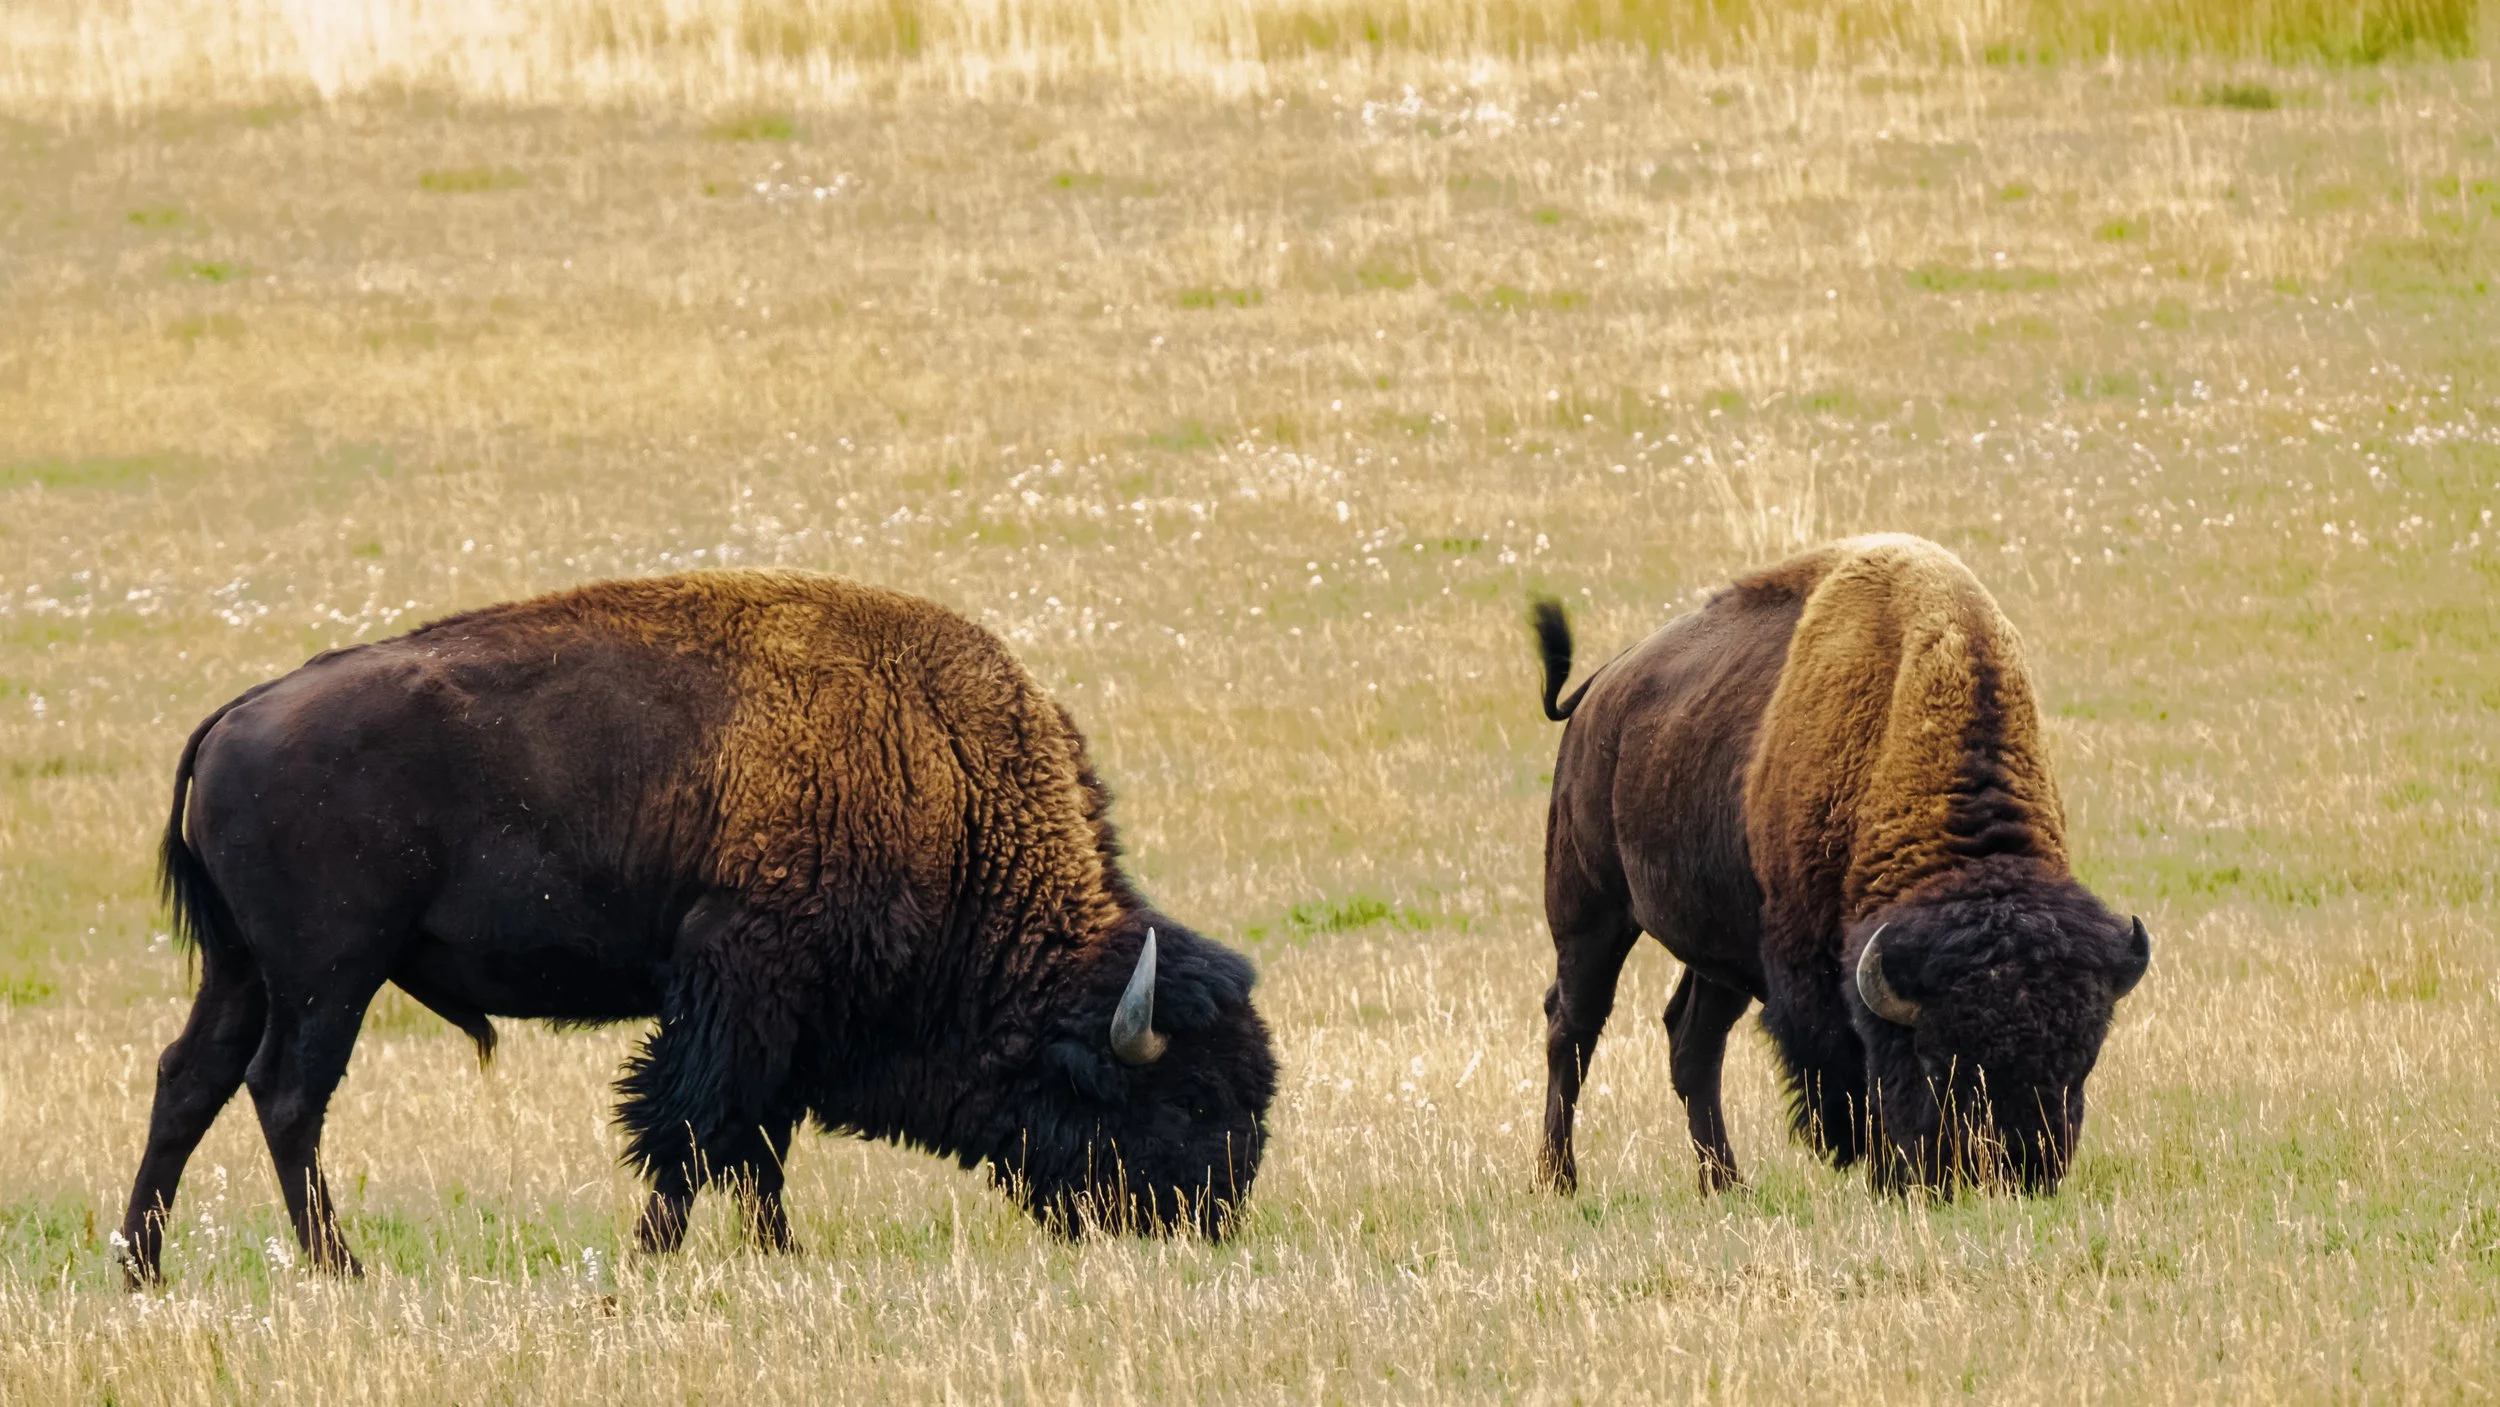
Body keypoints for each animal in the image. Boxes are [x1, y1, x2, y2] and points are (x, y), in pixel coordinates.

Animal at [118, 571, 1276, 1284]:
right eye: (1188, 1097)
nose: (1213, 1219)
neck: (939, 774)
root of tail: (236, 716)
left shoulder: (792, 1013)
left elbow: (756, 1136)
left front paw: (775, 1253)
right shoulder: (741, 981)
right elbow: (692, 1121)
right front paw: (653, 1256)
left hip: (244, 971)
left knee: (190, 1079)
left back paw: (141, 1267)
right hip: (330, 974)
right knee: (286, 1093)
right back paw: (342, 1267)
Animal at [1529, 535, 2149, 1195]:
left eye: (2083, 1058)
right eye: (1939, 1063)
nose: (2018, 1170)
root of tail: (1598, 689)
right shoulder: (1813, 973)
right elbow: (1848, 1076)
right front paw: (1879, 1168)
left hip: (1722, 951)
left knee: (1692, 1042)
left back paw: (1726, 1184)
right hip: (1589, 911)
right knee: (1573, 1027)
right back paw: (1558, 1178)